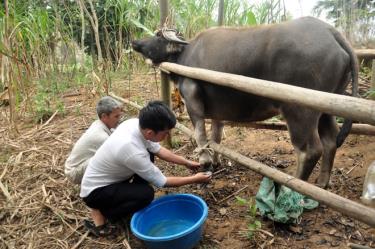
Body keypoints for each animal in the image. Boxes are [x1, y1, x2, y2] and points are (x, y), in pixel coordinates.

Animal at [132, 16, 358, 188]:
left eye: (157, 35)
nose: (135, 42)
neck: (184, 56)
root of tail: (332, 32)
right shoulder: (218, 112)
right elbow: (216, 137)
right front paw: (216, 161)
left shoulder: (192, 98)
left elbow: (201, 135)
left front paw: (205, 162)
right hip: (327, 108)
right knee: (330, 140)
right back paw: (322, 182)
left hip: (300, 111)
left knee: (310, 150)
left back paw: (292, 188)